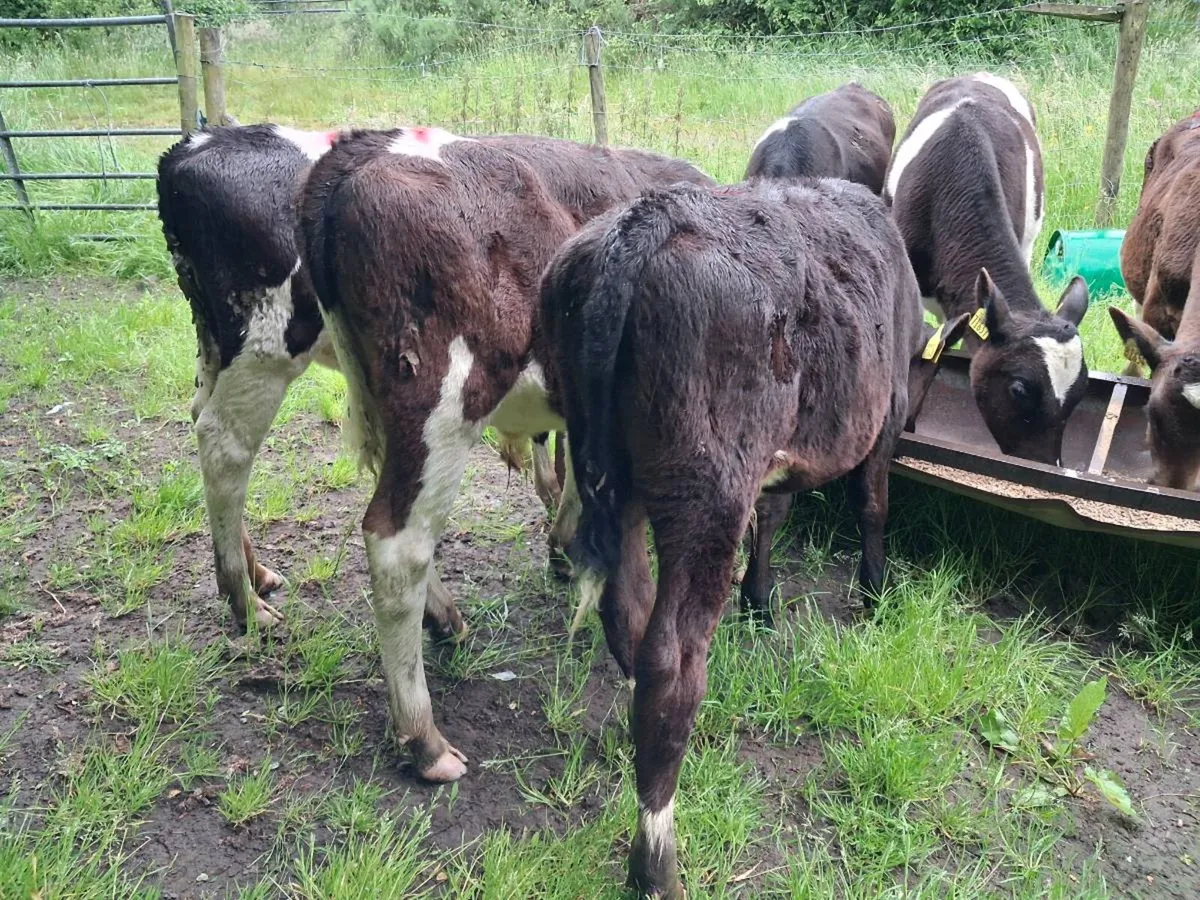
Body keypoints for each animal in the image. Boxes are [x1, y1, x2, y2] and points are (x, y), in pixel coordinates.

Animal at [296, 127, 713, 784]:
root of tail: (365, 149)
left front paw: (566, 550)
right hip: (444, 402)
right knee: (396, 543)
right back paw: (424, 738)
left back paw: (444, 620)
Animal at [542, 178, 927, 898]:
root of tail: (651, 218)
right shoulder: (886, 410)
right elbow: (872, 504)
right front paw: (875, 592)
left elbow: (774, 513)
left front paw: (761, 598)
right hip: (708, 490)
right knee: (671, 660)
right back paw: (656, 860)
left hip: (609, 466)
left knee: (627, 613)